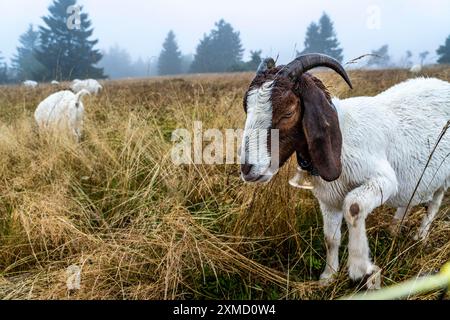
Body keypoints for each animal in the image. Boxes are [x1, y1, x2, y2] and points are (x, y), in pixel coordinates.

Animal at [241, 53, 450, 288]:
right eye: (246, 108)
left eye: (288, 112)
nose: (248, 168)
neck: (343, 138)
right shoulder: (328, 199)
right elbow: (330, 238)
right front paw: (328, 276)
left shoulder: (385, 180)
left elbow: (354, 206)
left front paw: (360, 266)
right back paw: (394, 229)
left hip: (443, 176)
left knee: (434, 204)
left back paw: (420, 237)